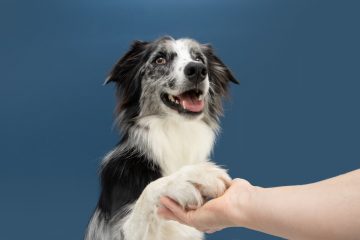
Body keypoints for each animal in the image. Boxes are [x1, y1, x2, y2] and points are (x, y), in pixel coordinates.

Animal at [85, 36, 239, 240]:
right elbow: (149, 190)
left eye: (199, 58)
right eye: (159, 60)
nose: (197, 69)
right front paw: (192, 177)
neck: (175, 132)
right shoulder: (118, 230)